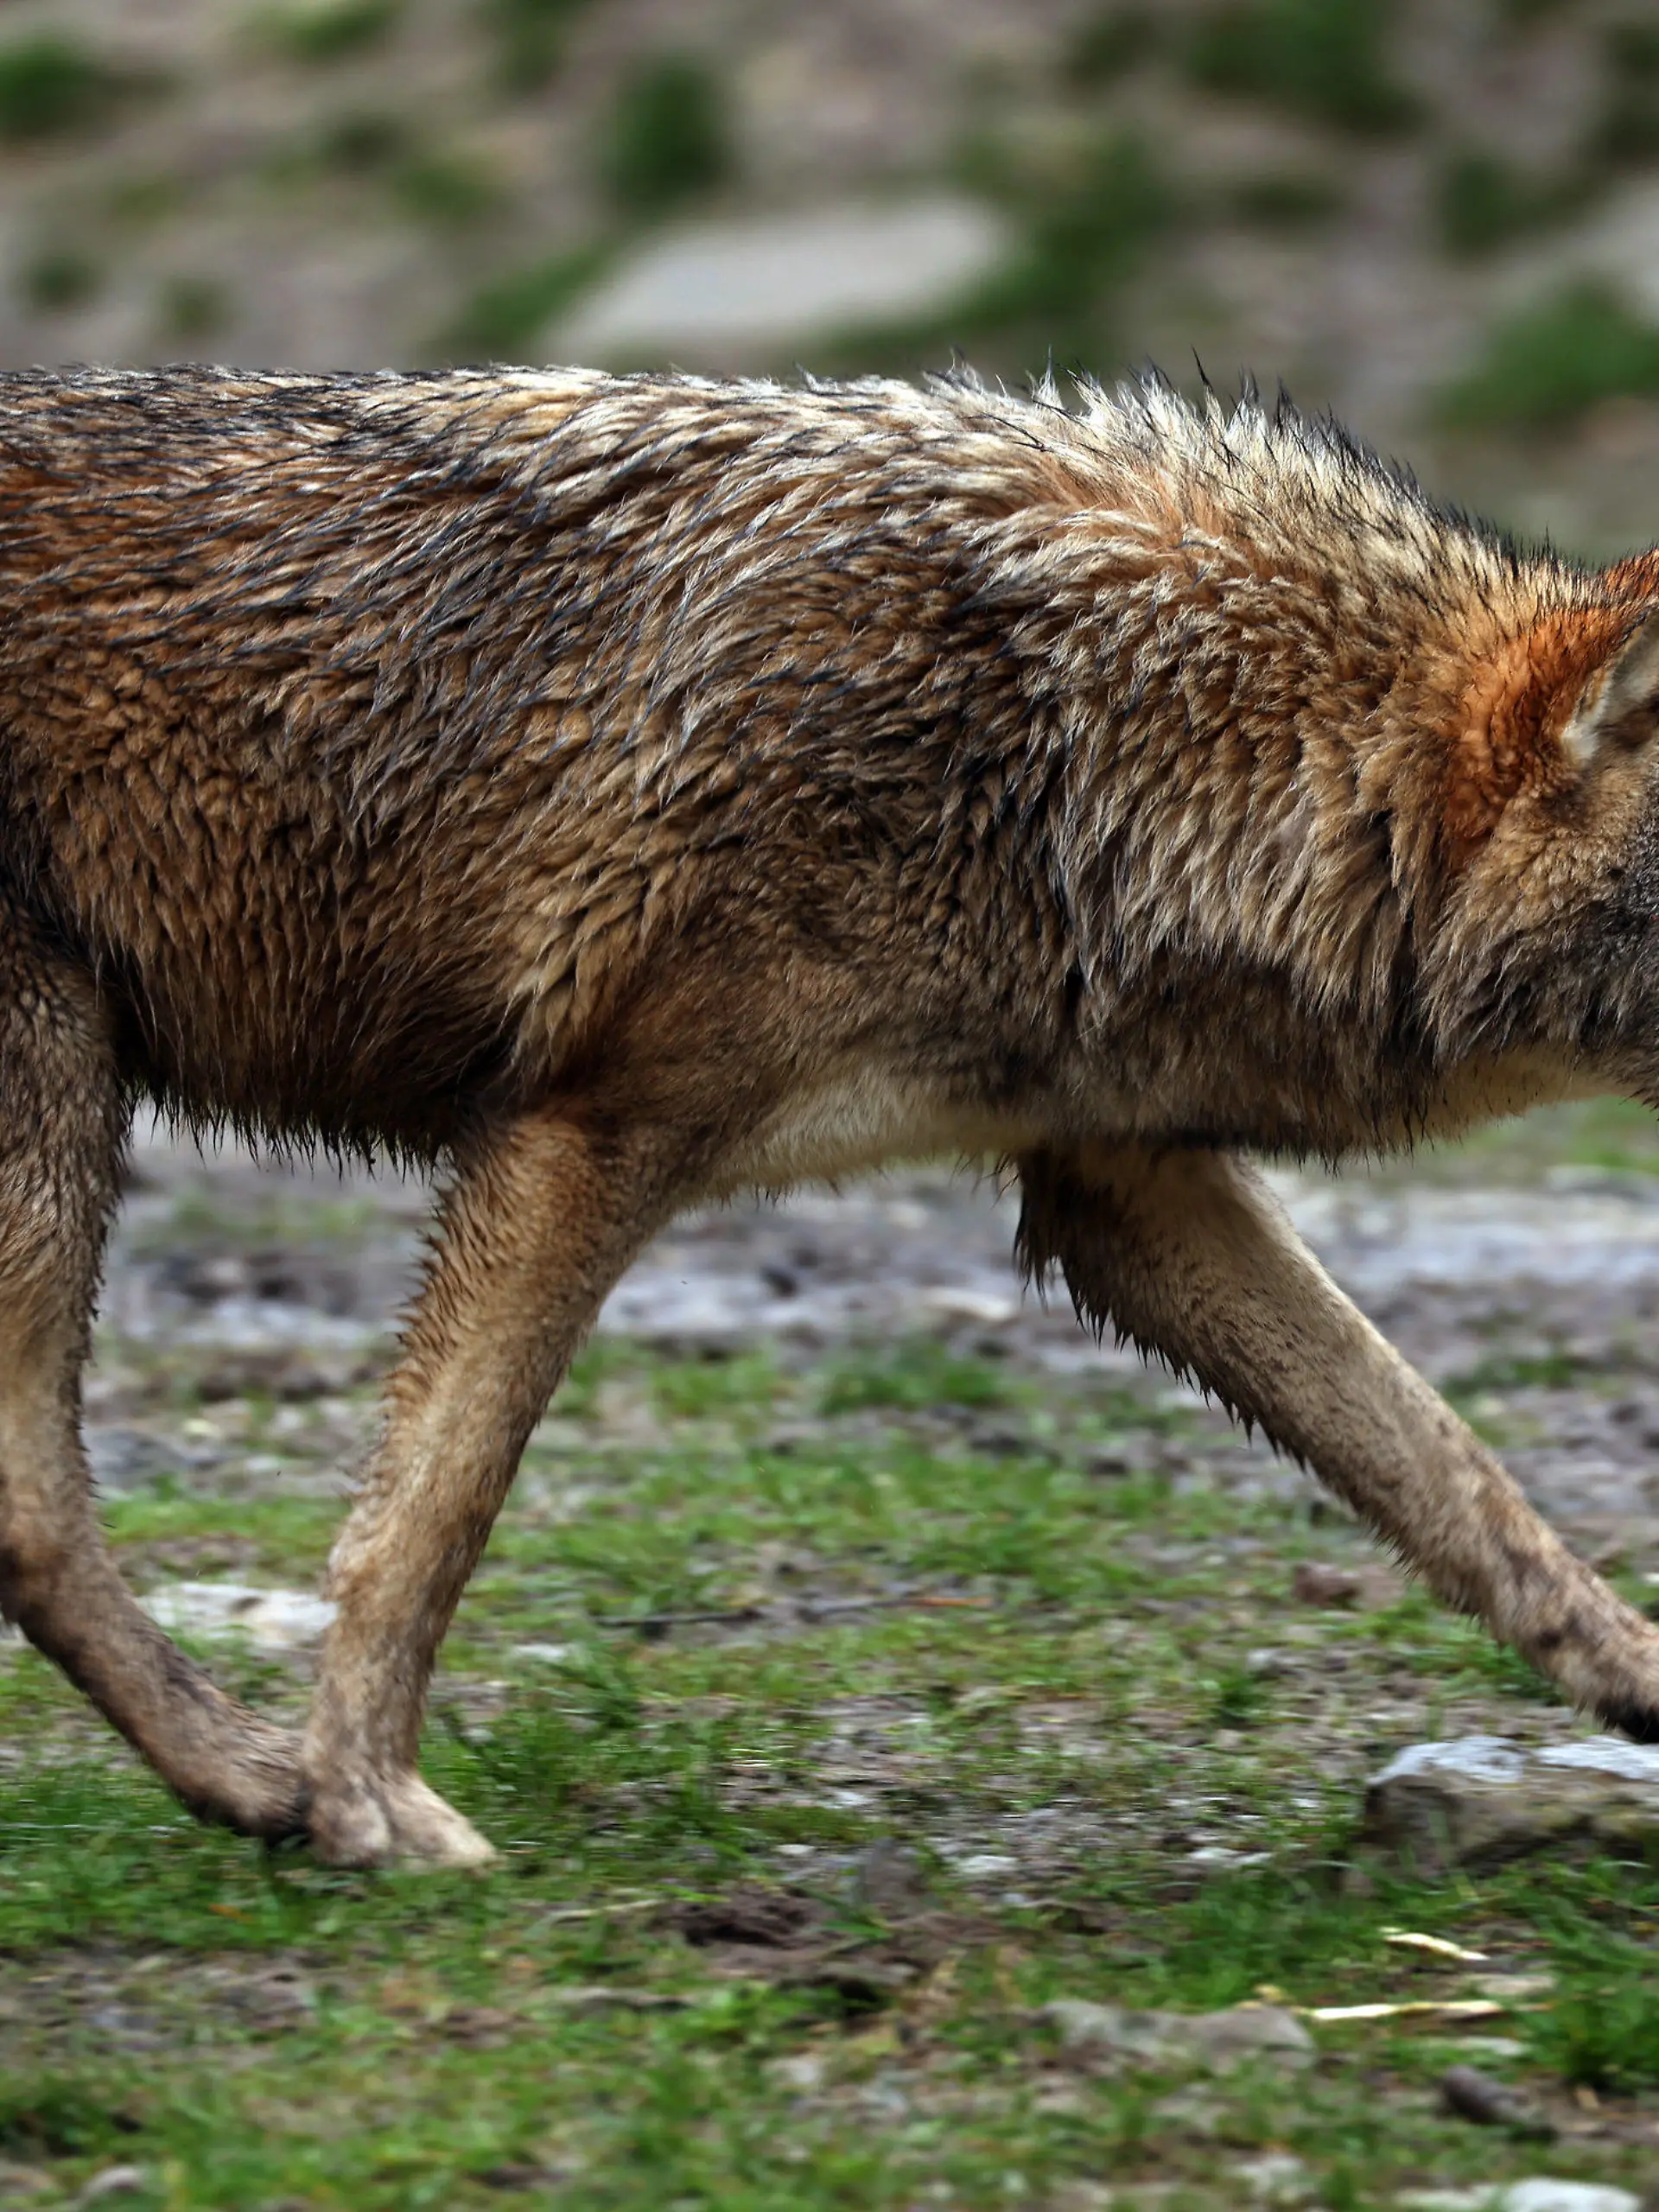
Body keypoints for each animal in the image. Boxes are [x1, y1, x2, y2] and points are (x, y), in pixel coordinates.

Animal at [3, 362, 1659, 1868]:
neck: (1090, 727)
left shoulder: (1121, 1186)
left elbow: (1454, 1471)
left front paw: (1640, 1680)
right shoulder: (586, 1131)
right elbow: (430, 1513)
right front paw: (366, 1800)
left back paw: (243, 1783)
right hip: (61, 1130)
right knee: (39, 1513)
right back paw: (266, 1780)